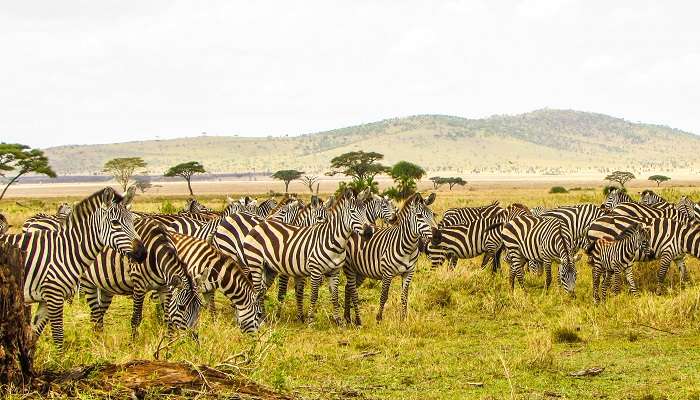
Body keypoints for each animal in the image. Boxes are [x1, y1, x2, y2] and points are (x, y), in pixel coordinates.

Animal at [1, 188, 146, 350]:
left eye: (133, 221)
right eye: (115, 223)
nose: (142, 253)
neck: (65, 250)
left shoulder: (46, 298)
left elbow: (33, 335)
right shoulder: (54, 296)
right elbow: (58, 337)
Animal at [242, 189, 374, 324]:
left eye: (365, 211)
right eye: (352, 211)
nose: (369, 232)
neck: (333, 242)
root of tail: (259, 224)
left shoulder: (335, 271)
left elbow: (335, 296)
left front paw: (338, 321)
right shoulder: (315, 270)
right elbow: (313, 295)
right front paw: (310, 320)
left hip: (269, 269)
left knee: (262, 291)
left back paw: (263, 317)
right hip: (255, 264)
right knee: (257, 290)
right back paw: (260, 319)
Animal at [344, 193, 438, 324]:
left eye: (432, 214)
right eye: (419, 216)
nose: (438, 236)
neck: (408, 247)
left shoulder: (409, 272)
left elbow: (404, 296)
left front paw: (403, 318)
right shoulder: (387, 273)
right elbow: (384, 296)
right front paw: (379, 319)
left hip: (361, 271)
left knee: (347, 288)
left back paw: (347, 317)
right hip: (350, 269)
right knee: (350, 288)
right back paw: (349, 317)